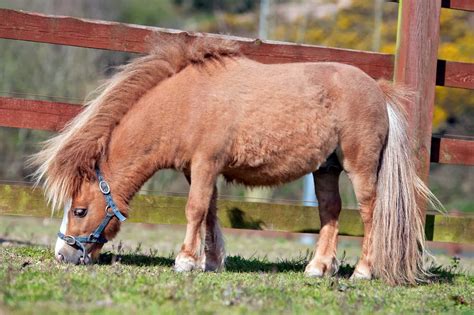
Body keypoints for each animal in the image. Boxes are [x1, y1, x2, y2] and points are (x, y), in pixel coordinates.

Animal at [31, 35, 440, 286]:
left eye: (80, 210)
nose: (62, 255)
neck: (186, 102)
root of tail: (378, 89)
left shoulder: (205, 164)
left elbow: (195, 210)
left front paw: (185, 260)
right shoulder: (198, 170)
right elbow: (209, 212)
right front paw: (209, 262)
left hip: (360, 167)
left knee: (370, 212)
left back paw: (364, 271)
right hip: (325, 169)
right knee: (331, 212)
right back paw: (318, 267)